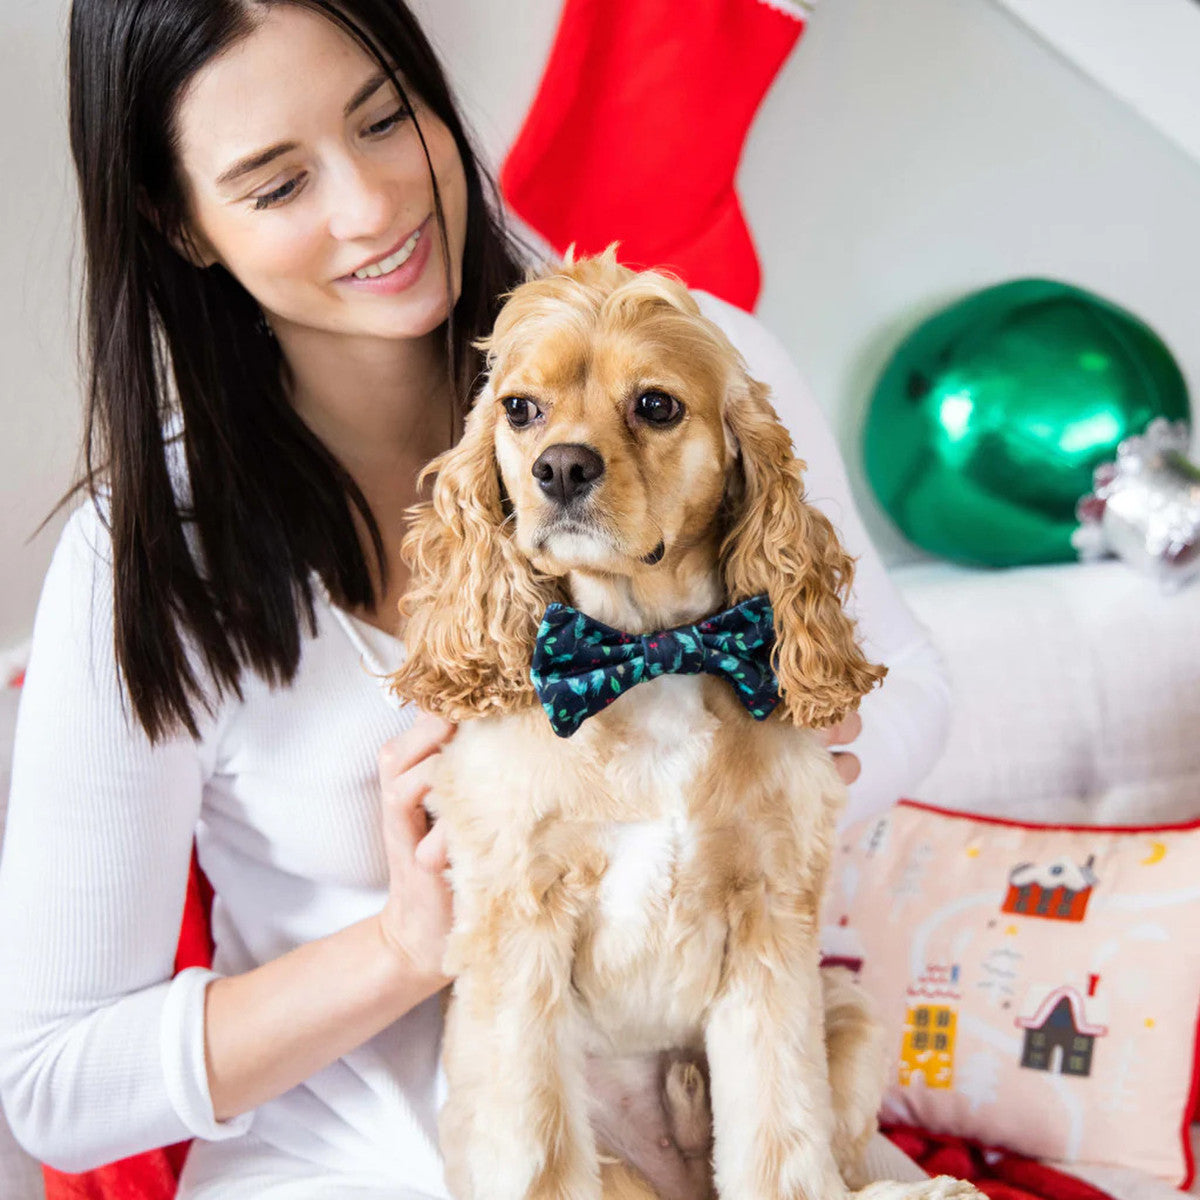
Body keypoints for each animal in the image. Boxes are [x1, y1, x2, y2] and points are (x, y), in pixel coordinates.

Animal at [388, 250, 979, 1200]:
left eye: (656, 405)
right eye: (520, 408)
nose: (560, 468)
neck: (646, 654)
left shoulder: (772, 919)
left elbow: (782, 1141)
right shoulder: (516, 924)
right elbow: (534, 1150)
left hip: (848, 1006)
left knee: (845, 1166)